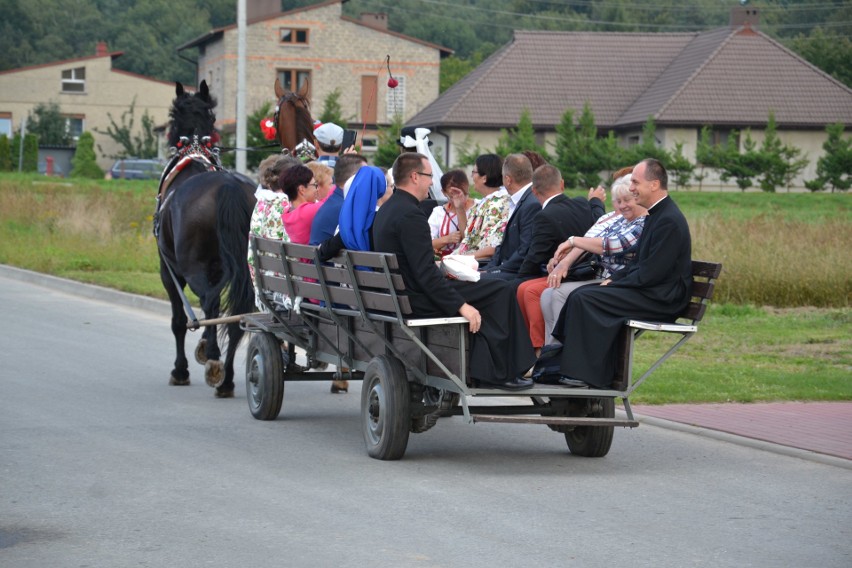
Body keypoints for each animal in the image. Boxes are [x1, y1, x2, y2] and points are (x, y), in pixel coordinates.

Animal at [156, 82, 256, 398]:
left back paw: (212, 358)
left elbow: (179, 321)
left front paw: (181, 370)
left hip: (192, 266)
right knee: (238, 316)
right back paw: (226, 380)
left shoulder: (169, 271)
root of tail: (228, 187)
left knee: (210, 302)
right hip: (243, 269)